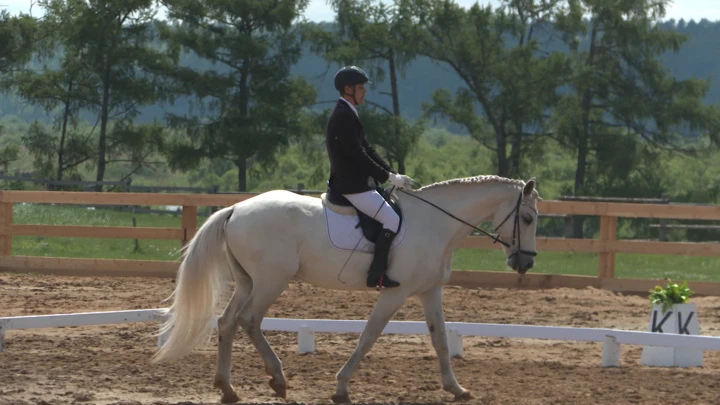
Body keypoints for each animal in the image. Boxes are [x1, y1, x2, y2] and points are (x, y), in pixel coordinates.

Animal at [149, 174, 536, 400]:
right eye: (529, 217)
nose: (526, 263)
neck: (434, 224)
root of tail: (234, 209)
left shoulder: (429, 291)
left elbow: (440, 338)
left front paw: (456, 388)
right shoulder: (394, 292)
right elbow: (369, 336)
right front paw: (340, 387)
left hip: (249, 281)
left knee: (228, 322)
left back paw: (228, 388)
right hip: (271, 280)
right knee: (249, 320)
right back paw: (277, 379)